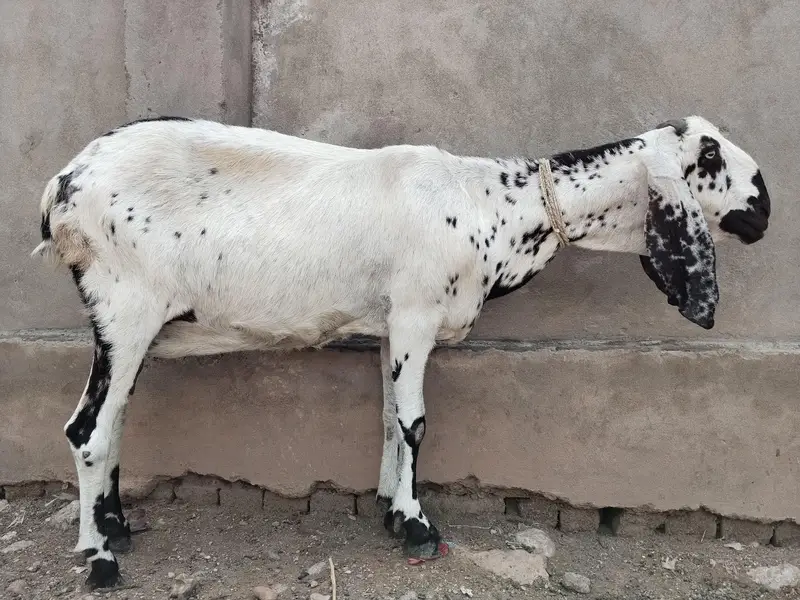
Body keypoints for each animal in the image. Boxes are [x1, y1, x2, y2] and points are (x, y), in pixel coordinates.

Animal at [33, 115, 771, 588]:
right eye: (708, 156)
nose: (763, 208)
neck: (495, 205)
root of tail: (62, 187)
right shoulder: (416, 314)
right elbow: (415, 423)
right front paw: (417, 525)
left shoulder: (392, 325)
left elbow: (391, 419)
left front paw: (392, 506)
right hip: (125, 307)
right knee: (86, 429)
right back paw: (99, 559)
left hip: (127, 325)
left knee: (112, 423)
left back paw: (116, 528)